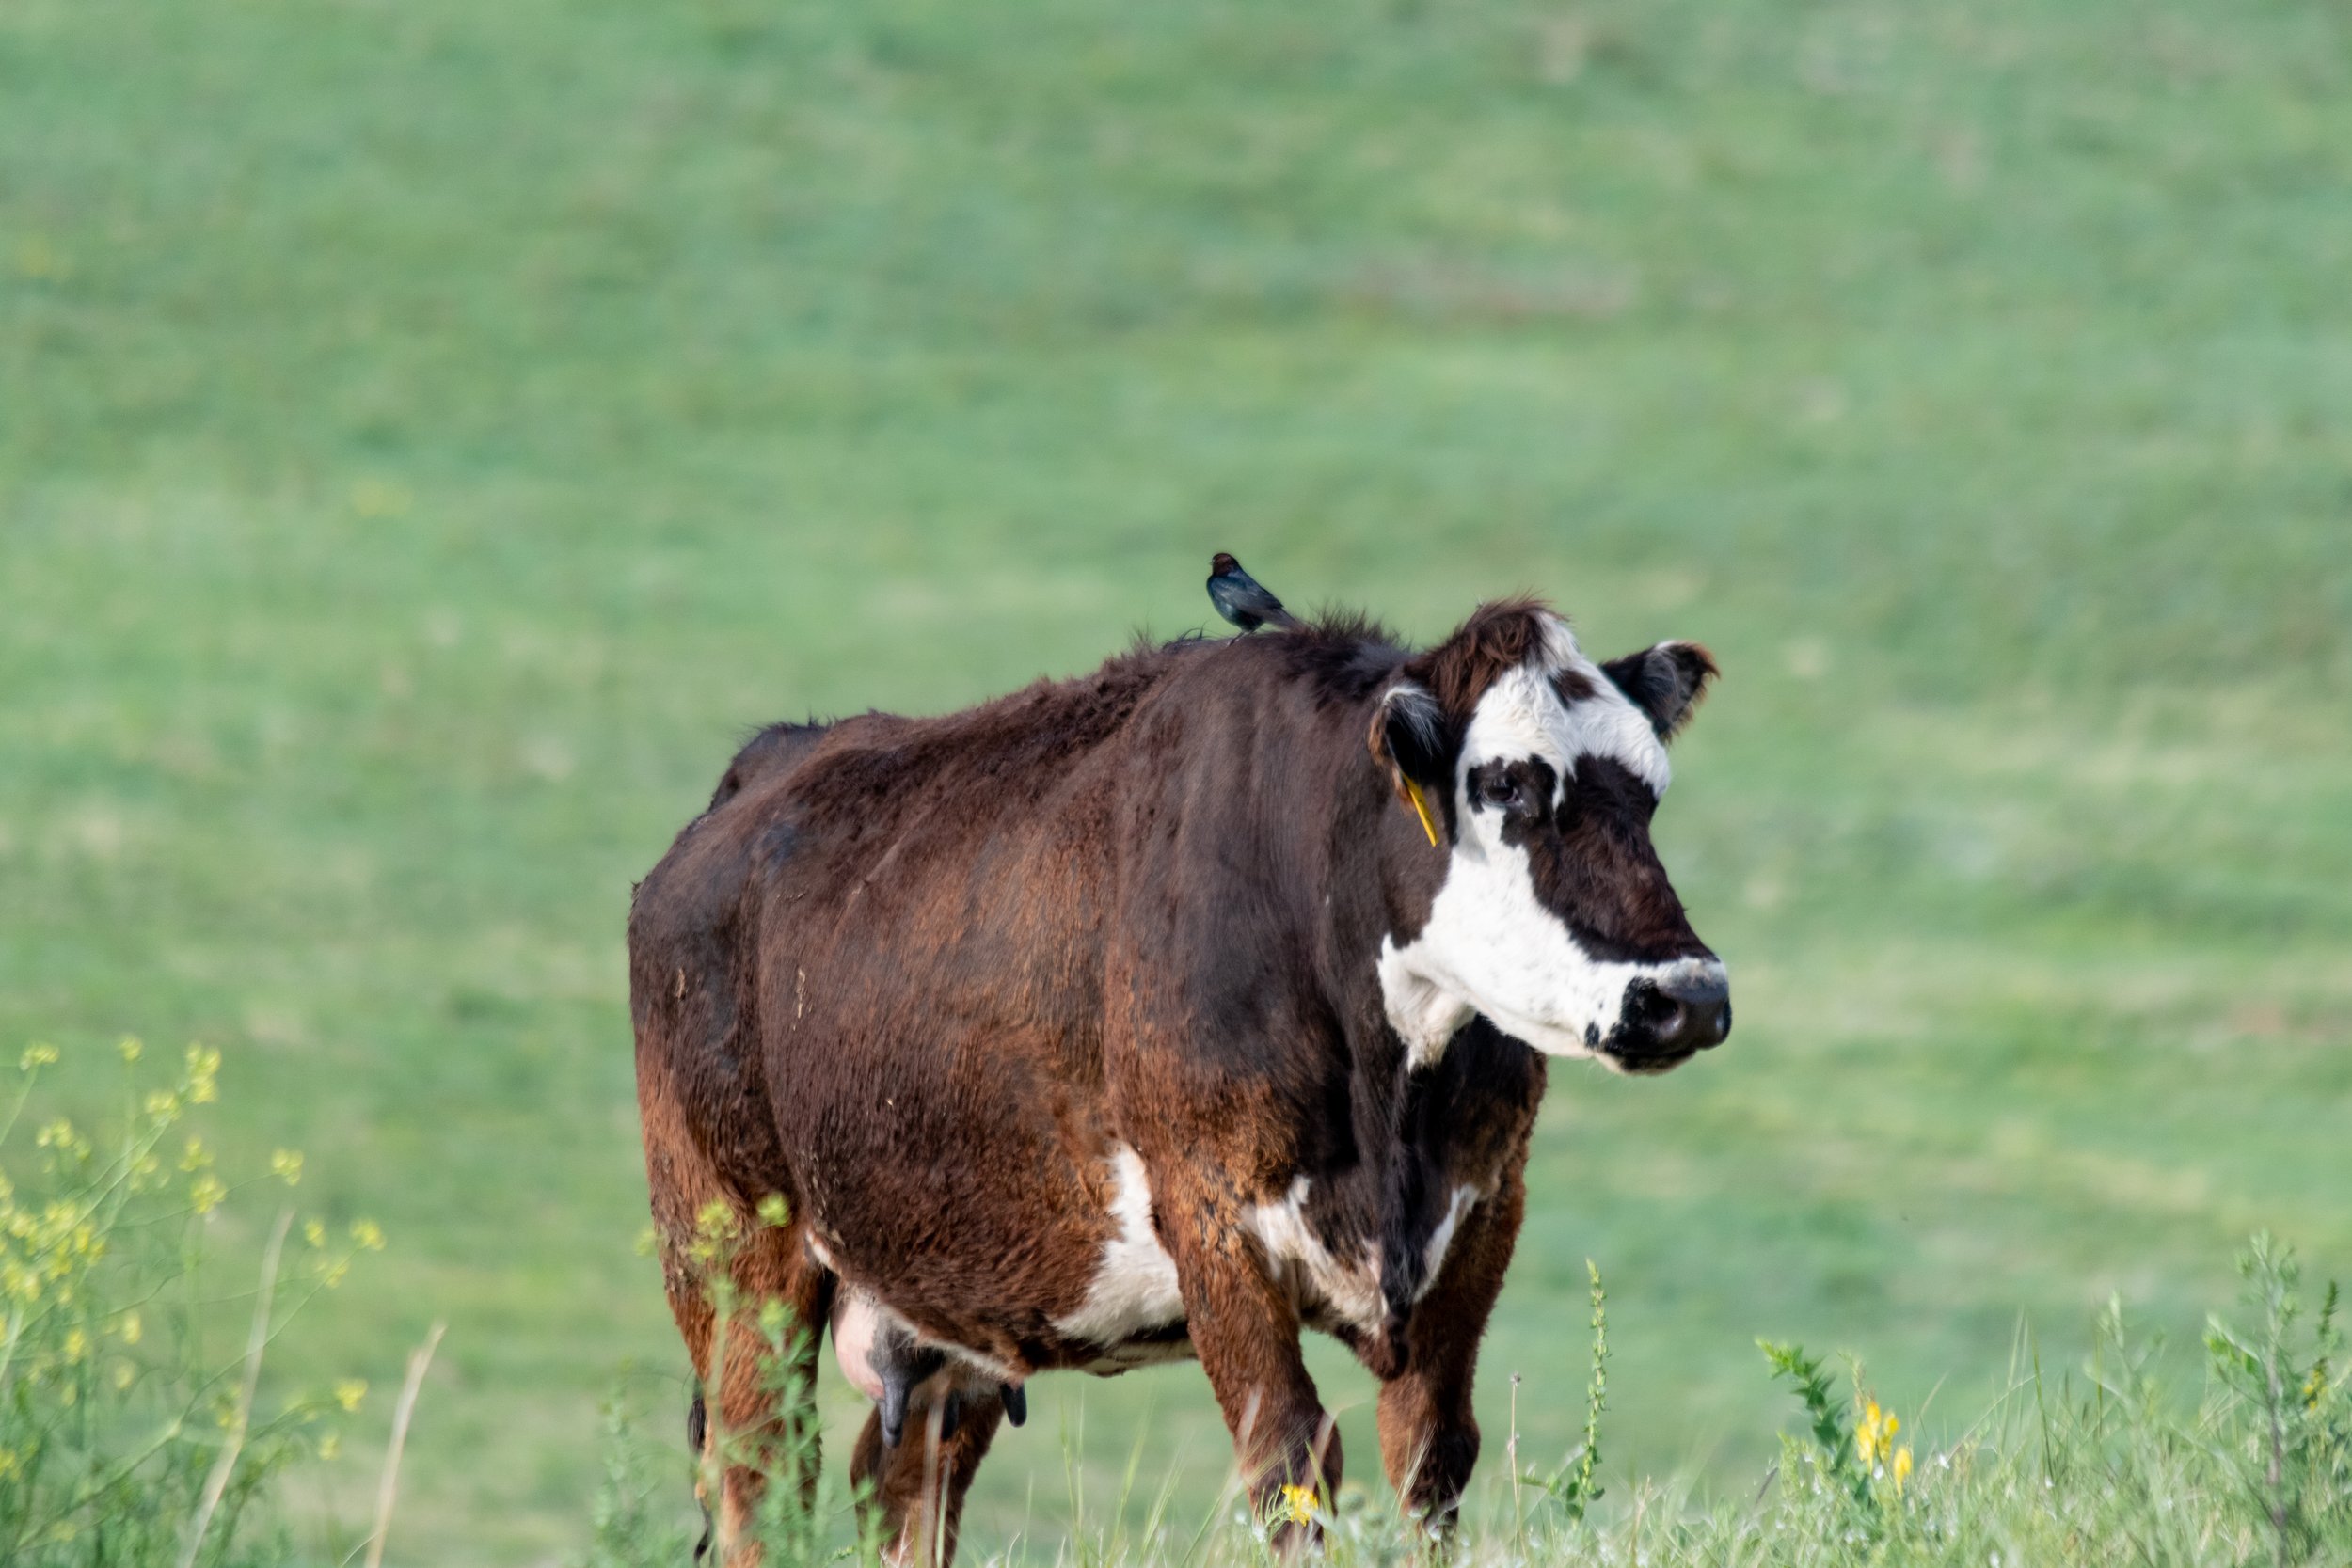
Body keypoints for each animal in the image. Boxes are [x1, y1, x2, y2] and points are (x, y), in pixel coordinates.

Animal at [629, 597, 1729, 1565]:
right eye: (1504, 783)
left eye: (1651, 792)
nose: (1687, 995)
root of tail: (767, 763)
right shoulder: (1210, 1212)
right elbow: (1290, 1457)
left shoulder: (1482, 1208)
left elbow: (1428, 1461)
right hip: (733, 1249)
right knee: (761, 1472)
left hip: (947, 1297)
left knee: (901, 1485)